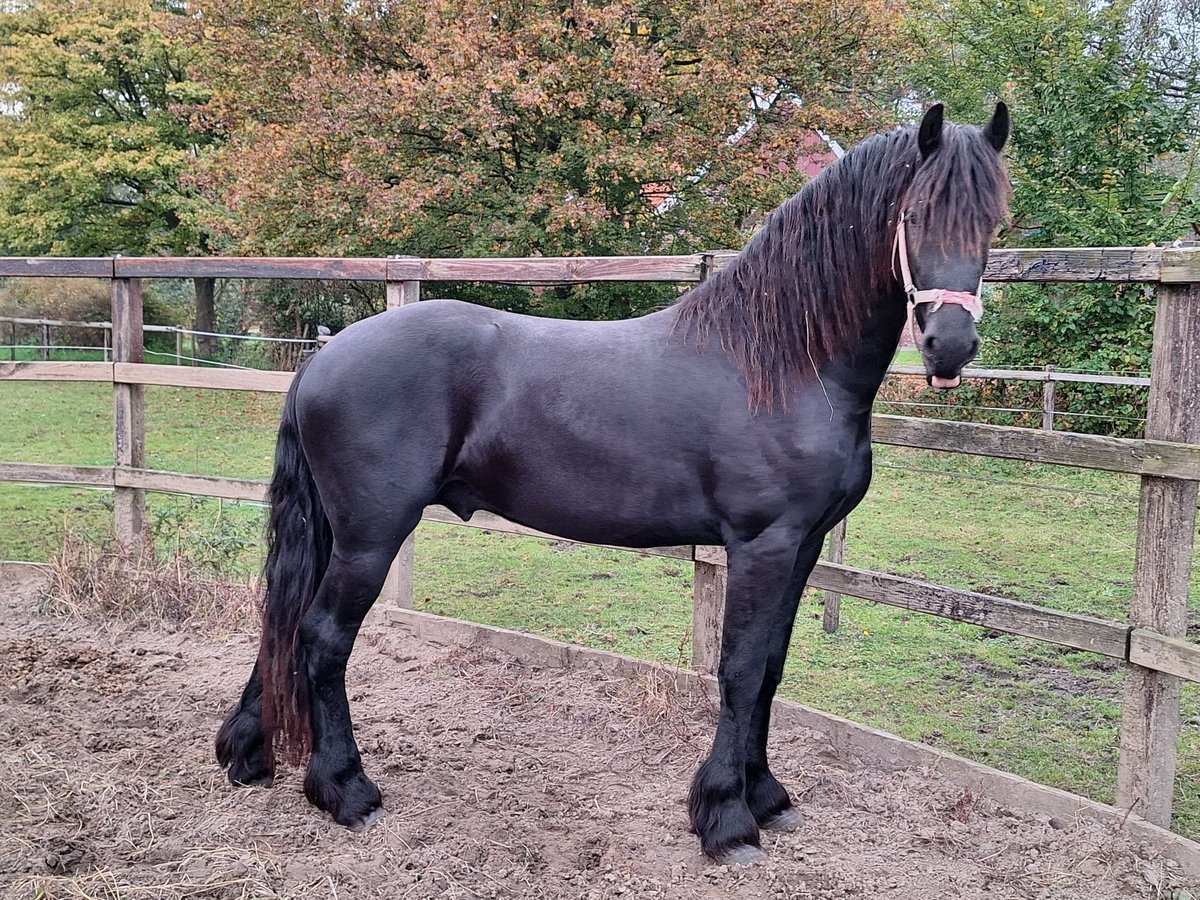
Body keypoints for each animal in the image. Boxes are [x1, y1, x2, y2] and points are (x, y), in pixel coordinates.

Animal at [218, 103, 1012, 868]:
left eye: (993, 221)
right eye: (916, 215)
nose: (949, 346)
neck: (781, 364)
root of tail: (324, 357)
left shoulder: (805, 547)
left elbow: (772, 668)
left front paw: (766, 797)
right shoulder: (763, 546)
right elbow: (740, 670)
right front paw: (726, 819)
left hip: (337, 532)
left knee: (286, 618)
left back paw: (248, 754)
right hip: (372, 537)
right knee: (323, 636)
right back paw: (346, 789)